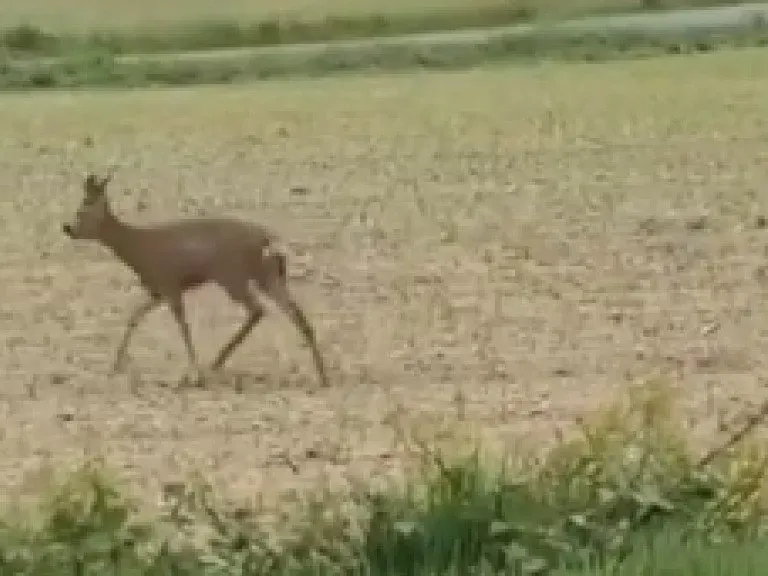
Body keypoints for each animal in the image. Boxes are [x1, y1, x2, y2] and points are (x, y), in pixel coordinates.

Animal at [62, 168, 330, 389]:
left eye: (82, 209)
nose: (67, 228)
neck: (139, 249)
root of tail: (268, 240)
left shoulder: (170, 284)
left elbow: (183, 326)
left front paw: (194, 374)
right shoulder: (157, 290)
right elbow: (134, 317)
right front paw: (115, 366)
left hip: (232, 275)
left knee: (258, 309)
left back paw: (217, 362)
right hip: (269, 274)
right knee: (296, 314)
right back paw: (322, 375)